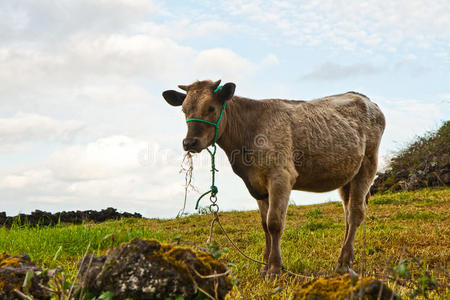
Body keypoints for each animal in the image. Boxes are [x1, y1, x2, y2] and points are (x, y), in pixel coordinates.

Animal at [163, 79, 384, 276]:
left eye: (211, 108)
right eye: (184, 110)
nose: (189, 142)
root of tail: (364, 98)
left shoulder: (281, 176)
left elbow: (274, 223)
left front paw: (275, 269)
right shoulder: (257, 184)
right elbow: (264, 226)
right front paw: (264, 267)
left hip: (367, 165)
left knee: (355, 214)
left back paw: (344, 264)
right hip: (346, 176)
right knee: (347, 215)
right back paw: (344, 260)